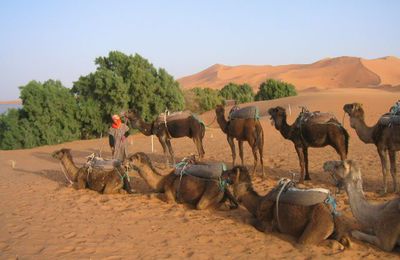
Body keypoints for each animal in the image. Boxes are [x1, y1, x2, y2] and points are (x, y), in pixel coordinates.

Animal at [222, 167, 350, 246]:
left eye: (230, 173)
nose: (222, 173)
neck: (258, 202)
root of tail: (331, 212)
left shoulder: (266, 224)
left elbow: (248, 220)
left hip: (318, 224)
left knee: (307, 242)